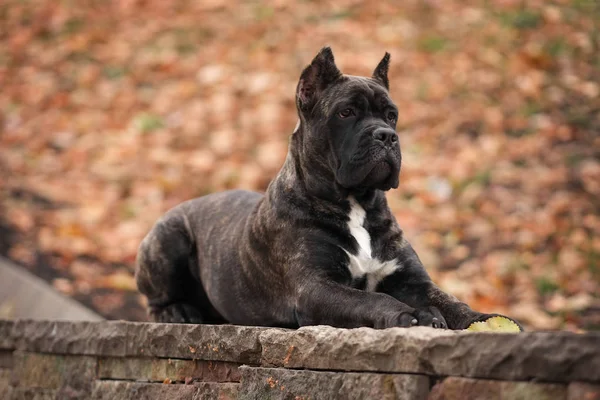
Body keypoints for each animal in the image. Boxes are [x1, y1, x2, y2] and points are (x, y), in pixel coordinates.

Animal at [135, 47, 520, 330]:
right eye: (346, 113)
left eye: (392, 115)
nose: (386, 135)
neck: (356, 204)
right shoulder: (317, 287)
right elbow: (370, 299)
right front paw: (412, 315)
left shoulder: (412, 280)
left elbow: (450, 301)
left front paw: (488, 321)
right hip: (168, 238)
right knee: (154, 301)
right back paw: (177, 312)